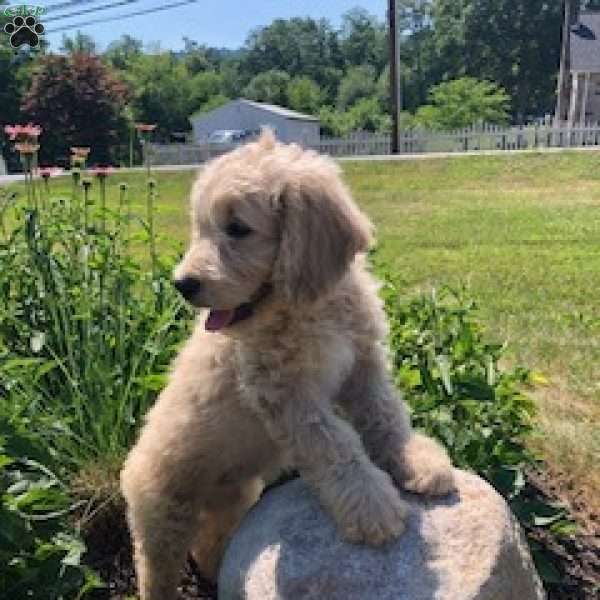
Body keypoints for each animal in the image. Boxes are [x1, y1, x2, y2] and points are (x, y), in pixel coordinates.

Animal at [119, 129, 452, 596]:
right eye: (201, 228)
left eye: (237, 229)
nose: (182, 284)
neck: (306, 308)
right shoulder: (288, 396)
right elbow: (335, 445)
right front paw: (371, 505)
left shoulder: (363, 364)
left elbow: (386, 414)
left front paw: (417, 459)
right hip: (163, 513)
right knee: (157, 570)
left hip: (235, 495)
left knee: (210, 542)